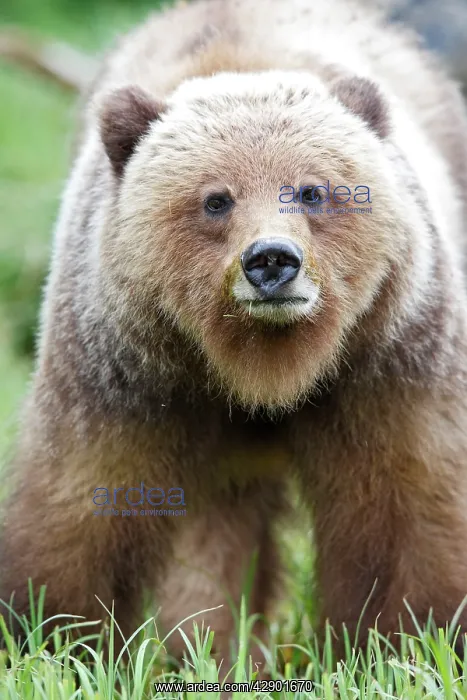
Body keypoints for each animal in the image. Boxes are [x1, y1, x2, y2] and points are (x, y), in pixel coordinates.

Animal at [2, 0, 467, 670]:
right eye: (216, 199)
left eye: (312, 190)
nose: (272, 259)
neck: (264, 367)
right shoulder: (126, 373)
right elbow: (83, 503)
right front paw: (52, 638)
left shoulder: (388, 357)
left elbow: (409, 506)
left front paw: (412, 639)